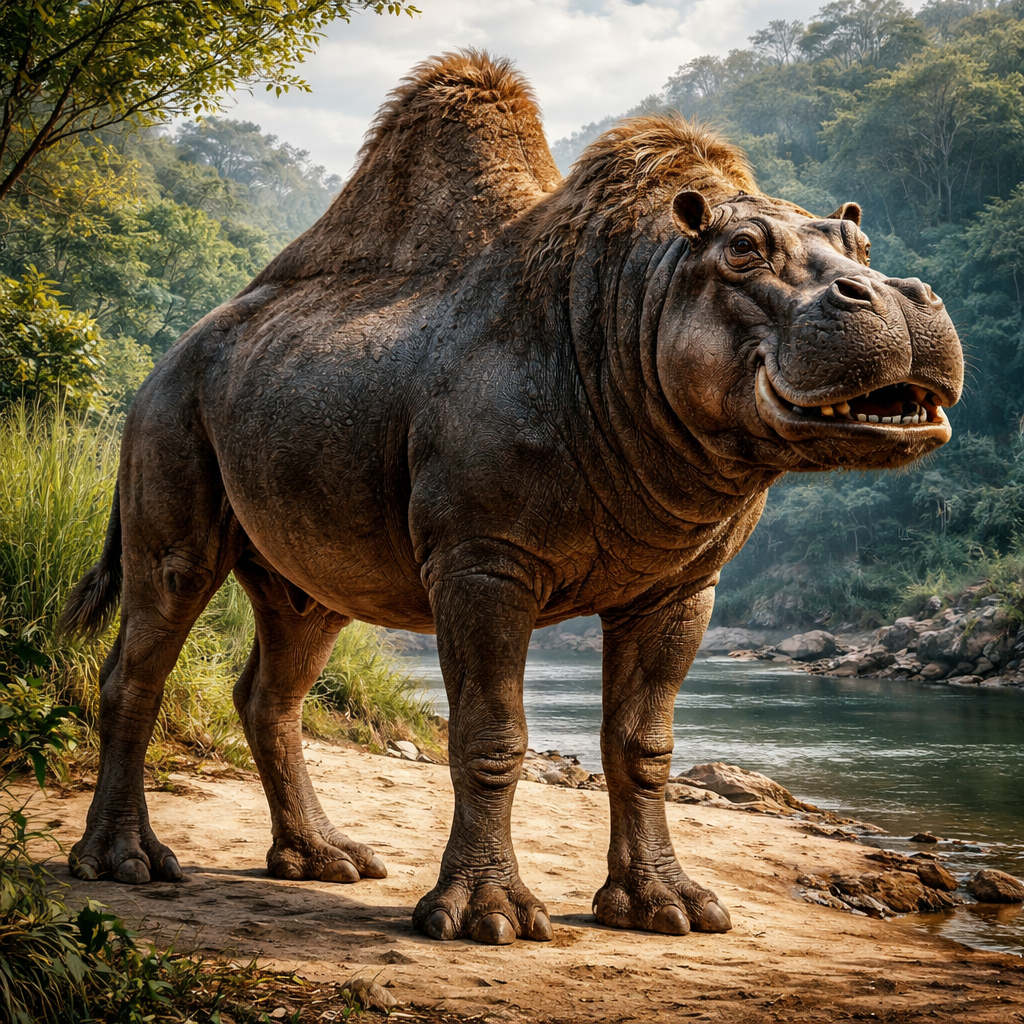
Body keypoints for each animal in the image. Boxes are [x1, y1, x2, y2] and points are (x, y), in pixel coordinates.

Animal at [62, 51, 963, 945]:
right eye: (742, 250)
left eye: (862, 244)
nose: (904, 295)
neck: (641, 296)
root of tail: (167, 357)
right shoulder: (484, 559)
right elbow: (491, 732)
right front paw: (483, 919)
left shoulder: (681, 580)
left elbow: (645, 743)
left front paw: (671, 911)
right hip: (170, 407)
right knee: (171, 585)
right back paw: (126, 866)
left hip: (279, 401)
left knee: (304, 618)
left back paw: (324, 862)